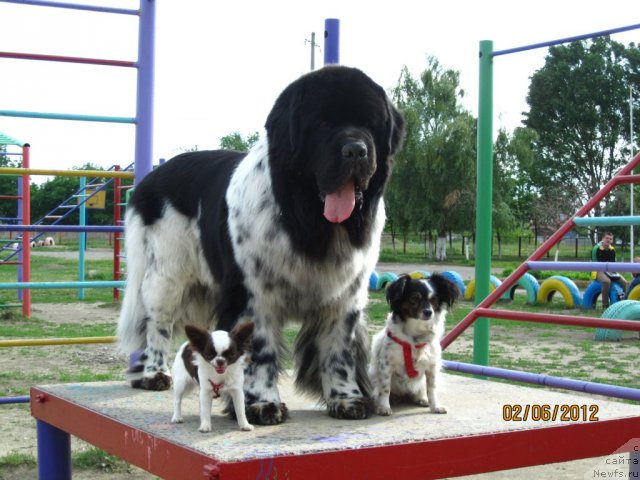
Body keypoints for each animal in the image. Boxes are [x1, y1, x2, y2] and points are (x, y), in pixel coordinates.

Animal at [116, 64, 404, 424]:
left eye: (369, 124)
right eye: (322, 124)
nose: (355, 150)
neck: (308, 220)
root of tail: (152, 178)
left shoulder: (346, 295)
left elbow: (339, 348)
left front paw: (346, 399)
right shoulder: (252, 294)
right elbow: (259, 350)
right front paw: (261, 404)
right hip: (166, 275)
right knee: (158, 324)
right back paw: (155, 374)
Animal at [370, 274, 460, 416]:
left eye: (434, 299)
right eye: (414, 298)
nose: (428, 312)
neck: (416, 335)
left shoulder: (432, 365)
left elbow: (431, 388)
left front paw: (435, 406)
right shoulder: (386, 365)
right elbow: (385, 388)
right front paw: (384, 407)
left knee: (421, 390)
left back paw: (422, 398)